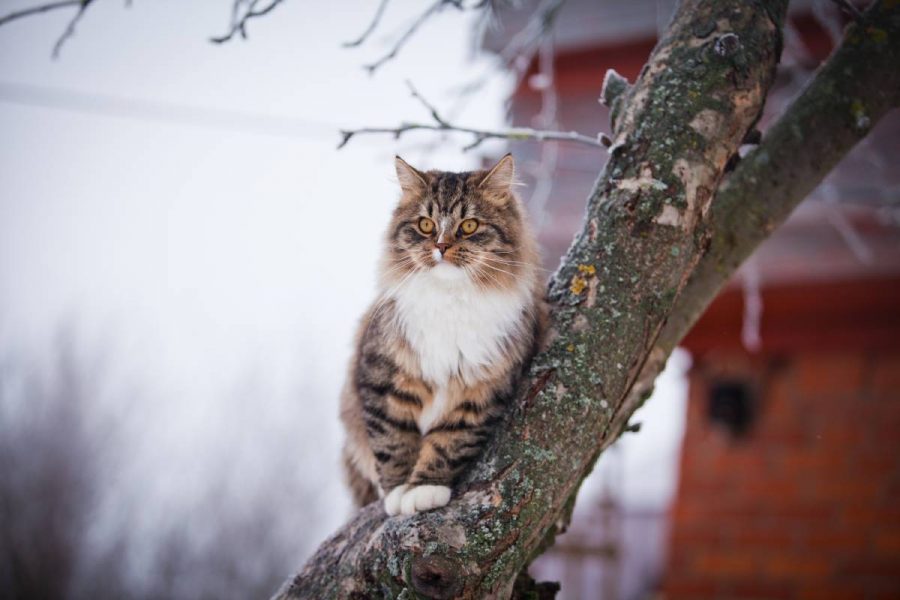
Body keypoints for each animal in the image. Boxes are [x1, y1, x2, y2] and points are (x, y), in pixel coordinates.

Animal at [340, 154, 544, 516]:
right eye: (425, 225)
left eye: (469, 226)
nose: (441, 246)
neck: (451, 301)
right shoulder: (382, 376)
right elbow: (392, 439)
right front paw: (398, 492)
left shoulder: (483, 388)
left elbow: (450, 441)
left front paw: (424, 489)